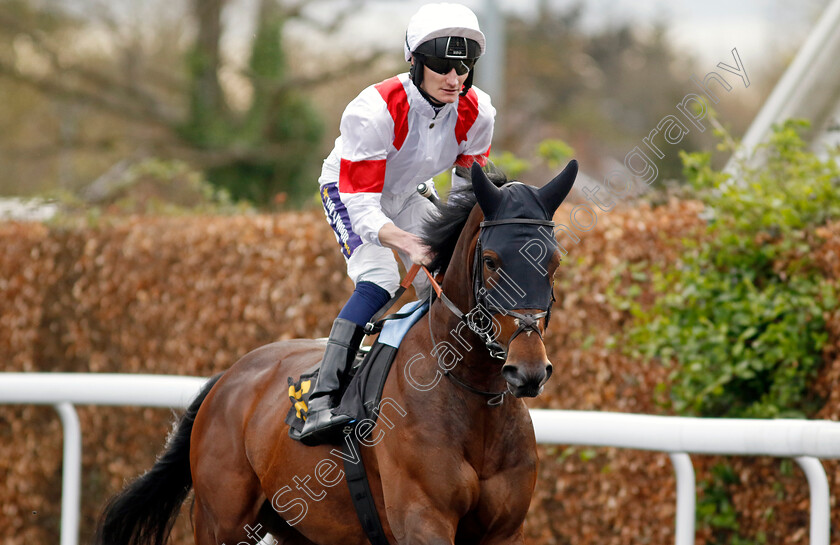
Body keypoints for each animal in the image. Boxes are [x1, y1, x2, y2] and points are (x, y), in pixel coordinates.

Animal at [93, 160, 576, 544]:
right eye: (492, 261)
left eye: (552, 262)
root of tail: (227, 379)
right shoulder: (423, 521)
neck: (469, 397)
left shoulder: (504, 530)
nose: (528, 370)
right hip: (220, 522)